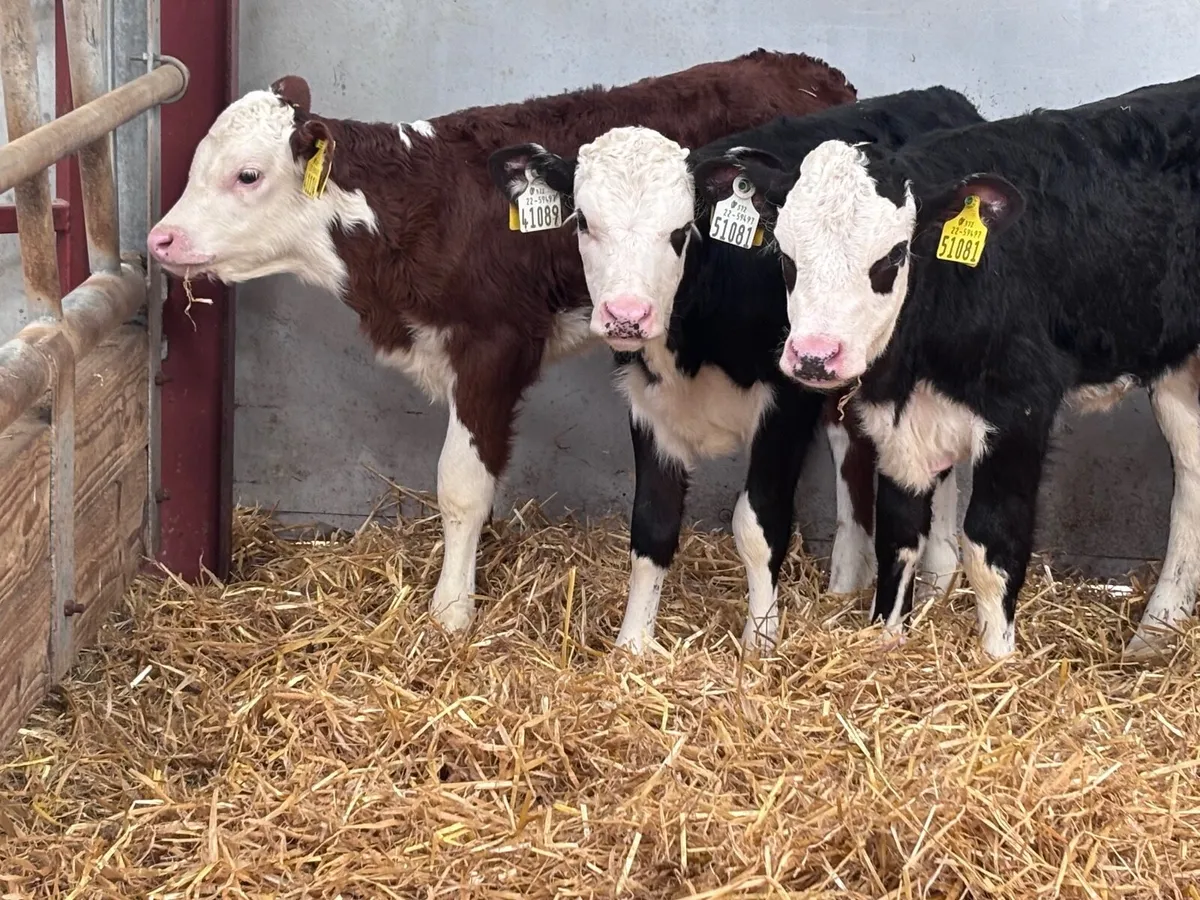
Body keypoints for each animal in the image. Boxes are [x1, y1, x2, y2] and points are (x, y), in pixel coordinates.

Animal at [144, 51, 858, 635]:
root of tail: (805, 67)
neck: (424, 207)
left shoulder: (492, 348)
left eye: (247, 175)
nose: (160, 239)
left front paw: (451, 612)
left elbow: (461, 483)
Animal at [487, 86, 983, 652]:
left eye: (680, 231)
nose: (627, 316)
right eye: (585, 222)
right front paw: (632, 643)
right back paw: (853, 581)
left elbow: (757, 523)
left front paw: (761, 641)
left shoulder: (786, 404)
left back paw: (937, 575)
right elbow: (652, 524)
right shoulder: (649, 404)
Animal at [733, 73, 1200, 659]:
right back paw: (1154, 634)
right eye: (786, 255)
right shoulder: (897, 423)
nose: (816, 356)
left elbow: (991, 546)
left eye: (893, 256)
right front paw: (886, 637)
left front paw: (996, 657)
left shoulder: (1021, 406)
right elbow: (899, 536)